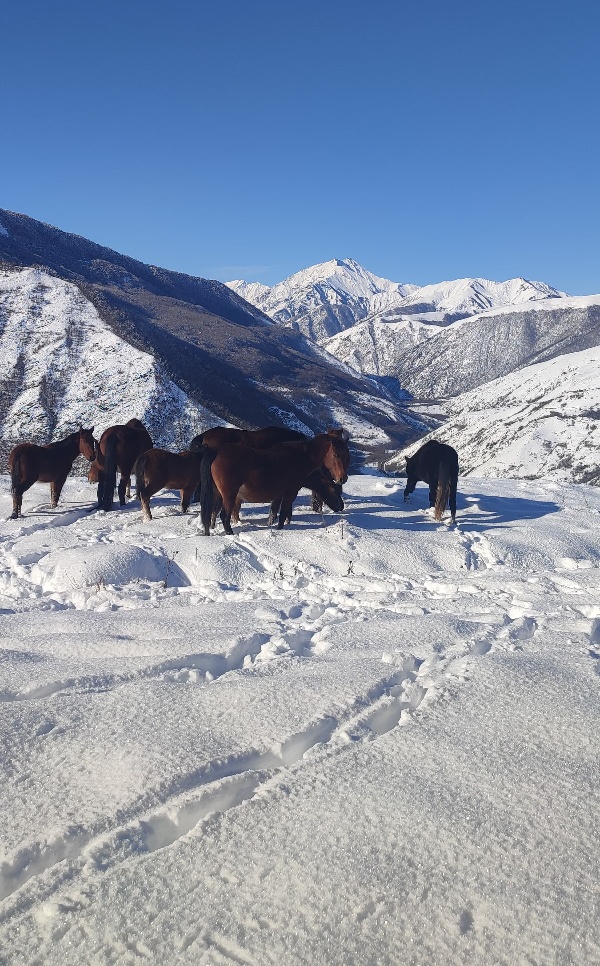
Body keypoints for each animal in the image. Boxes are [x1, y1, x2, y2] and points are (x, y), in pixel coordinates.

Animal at [202, 436, 352, 536]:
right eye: (335, 454)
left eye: (346, 455)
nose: (342, 478)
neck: (300, 458)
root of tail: (218, 451)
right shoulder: (290, 493)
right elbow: (283, 513)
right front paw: (280, 529)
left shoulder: (278, 496)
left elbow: (273, 513)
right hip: (229, 495)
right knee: (224, 516)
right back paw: (230, 533)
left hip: (218, 493)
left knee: (212, 513)